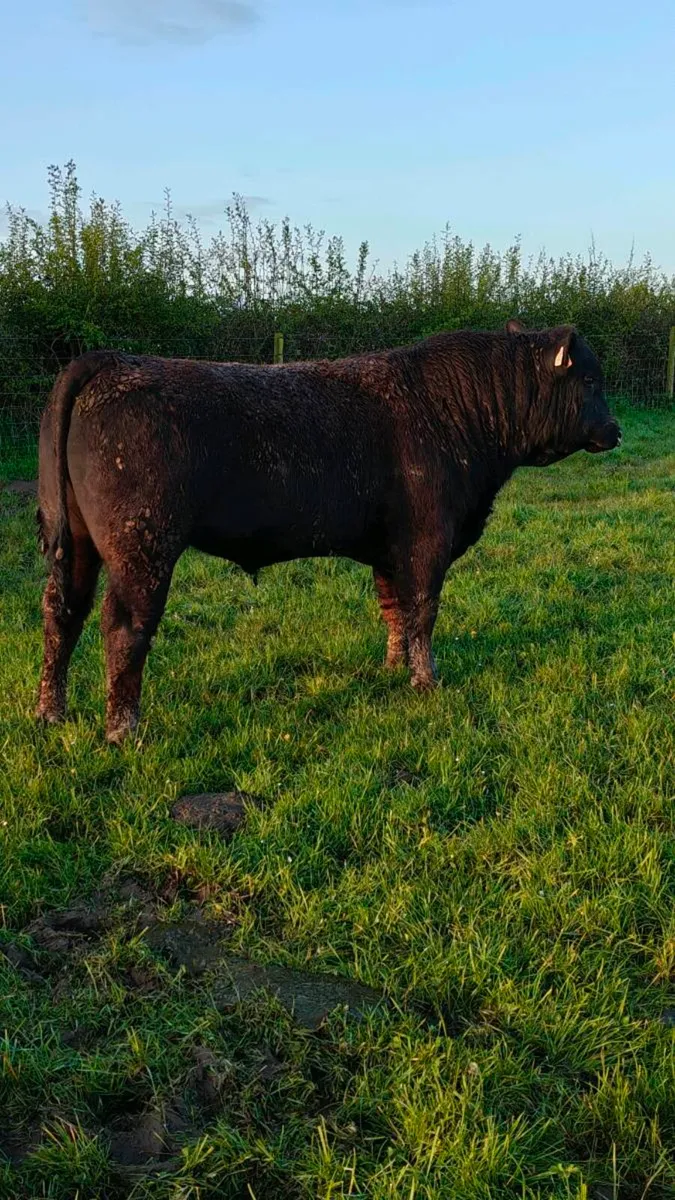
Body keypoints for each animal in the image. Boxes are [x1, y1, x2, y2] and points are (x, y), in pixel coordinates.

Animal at [35, 321, 621, 744]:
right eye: (591, 381)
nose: (615, 431)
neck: (459, 414)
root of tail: (114, 360)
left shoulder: (391, 549)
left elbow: (394, 608)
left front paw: (393, 668)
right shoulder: (429, 542)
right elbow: (423, 611)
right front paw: (425, 681)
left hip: (79, 545)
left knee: (62, 612)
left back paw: (50, 714)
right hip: (143, 548)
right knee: (123, 627)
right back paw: (122, 731)